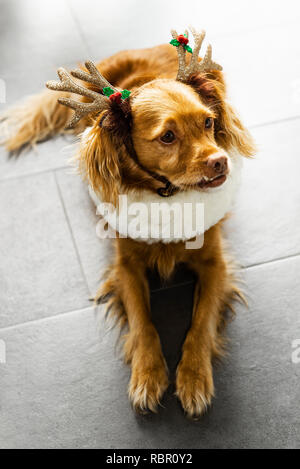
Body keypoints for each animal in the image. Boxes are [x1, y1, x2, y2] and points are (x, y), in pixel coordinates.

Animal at [0, 28, 255, 416]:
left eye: (209, 122)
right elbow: (142, 321)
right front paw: (148, 376)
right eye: (168, 136)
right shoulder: (126, 267)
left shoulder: (215, 264)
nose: (220, 162)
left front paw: (194, 378)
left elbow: (200, 322)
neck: (167, 197)